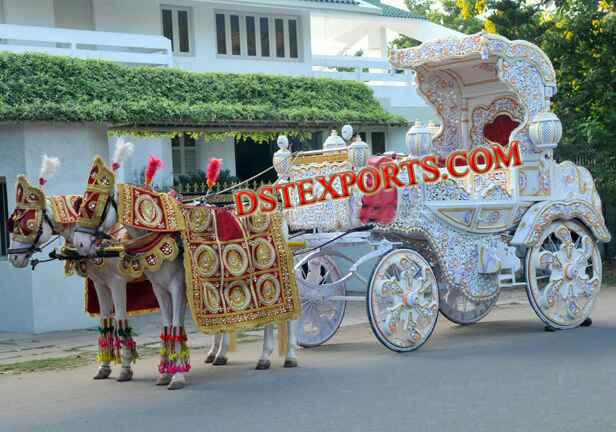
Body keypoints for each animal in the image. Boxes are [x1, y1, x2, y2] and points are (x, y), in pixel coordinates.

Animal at [73, 201, 300, 390]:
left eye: (95, 205)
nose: (80, 243)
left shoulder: (171, 287)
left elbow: (174, 325)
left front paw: (175, 374)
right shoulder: (155, 287)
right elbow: (165, 325)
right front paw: (165, 372)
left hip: (280, 276)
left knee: (287, 318)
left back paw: (288, 357)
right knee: (267, 317)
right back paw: (253, 357)